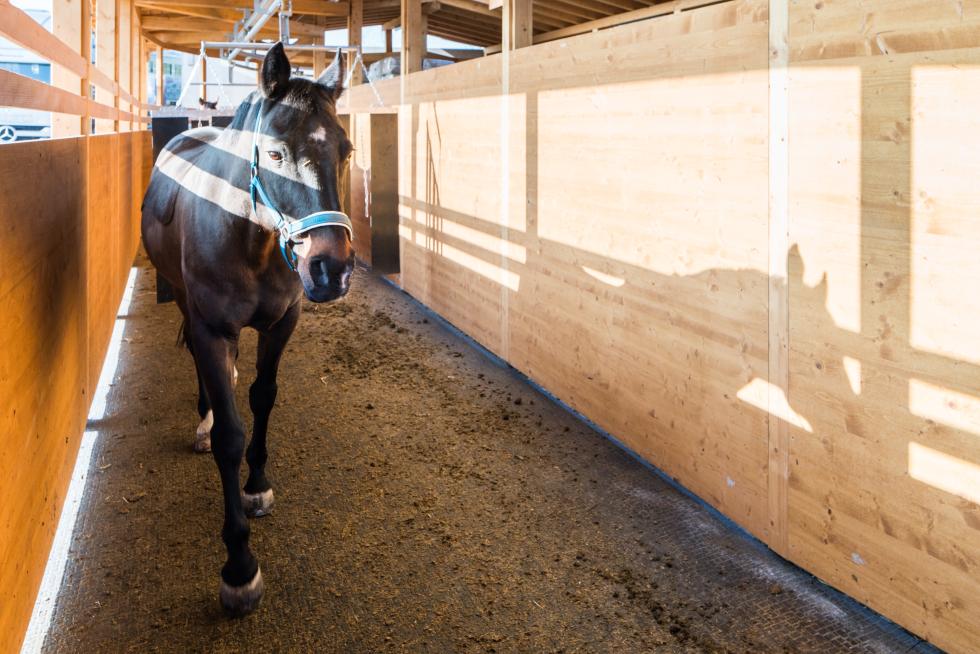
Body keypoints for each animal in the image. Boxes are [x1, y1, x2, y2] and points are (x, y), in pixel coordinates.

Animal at [141, 43, 355, 615]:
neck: (249, 237)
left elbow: (263, 398)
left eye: (346, 150)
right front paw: (239, 568)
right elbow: (230, 437)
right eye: (276, 154)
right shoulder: (213, 329)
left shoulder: (282, 324)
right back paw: (204, 416)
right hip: (186, 305)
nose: (332, 270)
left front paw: (256, 485)